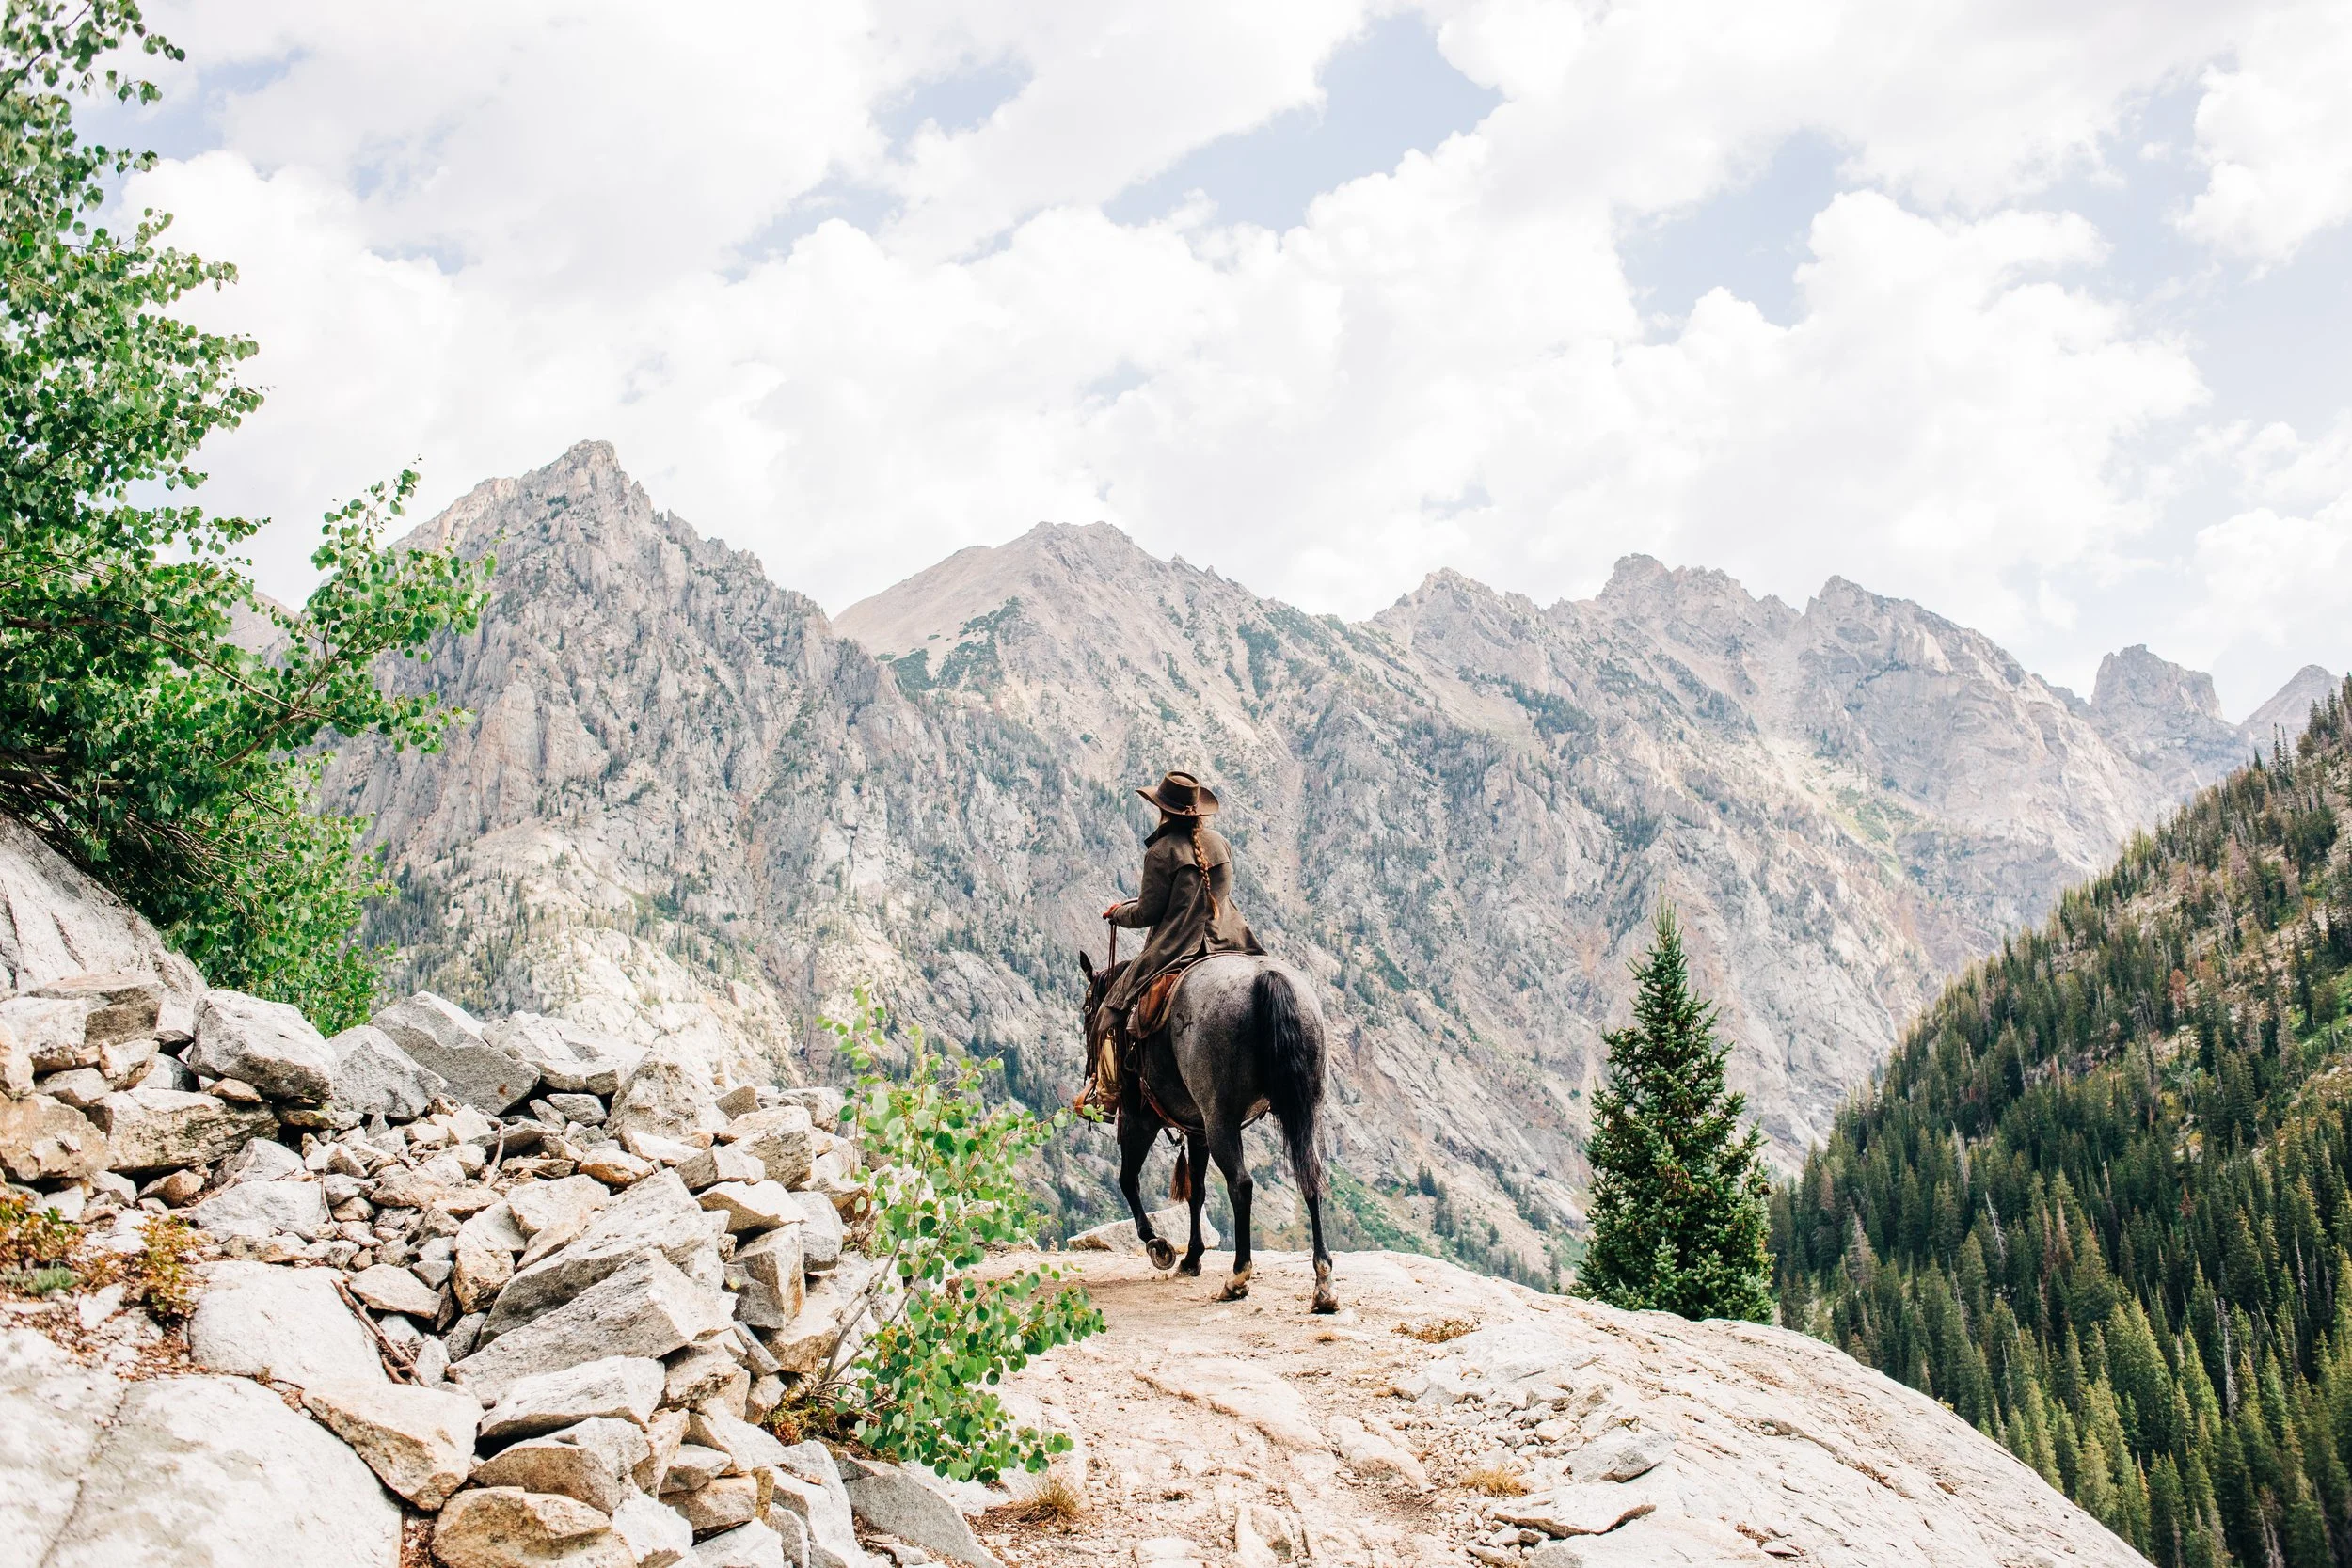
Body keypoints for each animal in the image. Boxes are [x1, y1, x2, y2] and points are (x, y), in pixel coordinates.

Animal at [1078, 948, 1339, 1314]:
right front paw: (1192, 1257)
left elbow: (1128, 1180)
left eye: (1087, 1010)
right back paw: (1323, 1283)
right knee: (1310, 1178)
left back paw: (1238, 1277)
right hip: (1306, 1112)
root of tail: (1266, 978)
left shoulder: (1138, 1120)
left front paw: (1158, 1244)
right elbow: (1196, 1192)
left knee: (1241, 1185)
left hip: (1221, 1120)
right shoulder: (1196, 1129)